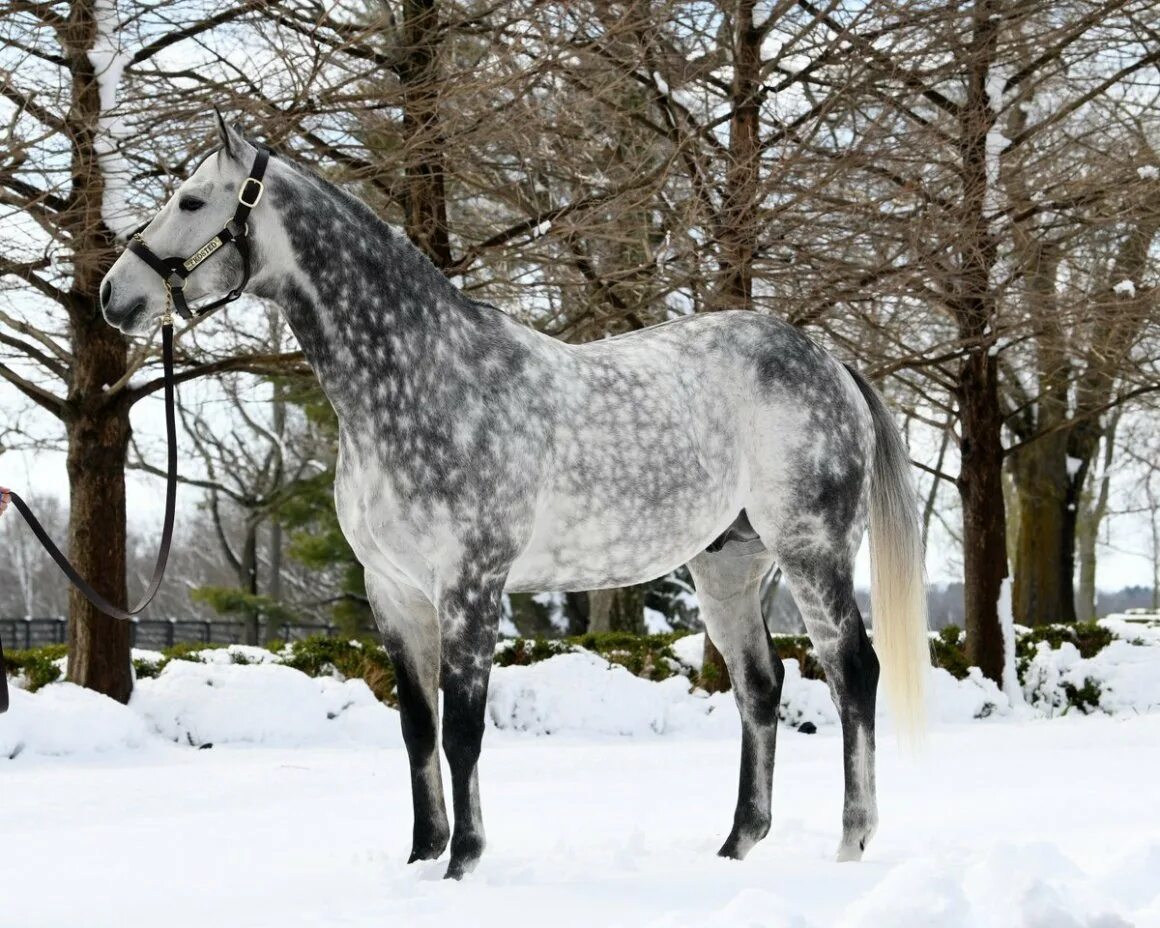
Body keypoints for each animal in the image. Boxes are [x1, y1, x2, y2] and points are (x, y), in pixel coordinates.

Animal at [102, 119, 932, 881]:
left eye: (192, 199)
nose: (116, 296)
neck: (422, 377)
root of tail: (829, 363)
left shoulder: (470, 582)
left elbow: (464, 728)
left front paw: (464, 862)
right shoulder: (394, 592)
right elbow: (418, 728)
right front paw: (421, 857)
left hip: (811, 551)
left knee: (852, 672)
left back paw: (853, 842)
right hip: (728, 567)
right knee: (760, 689)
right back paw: (735, 847)